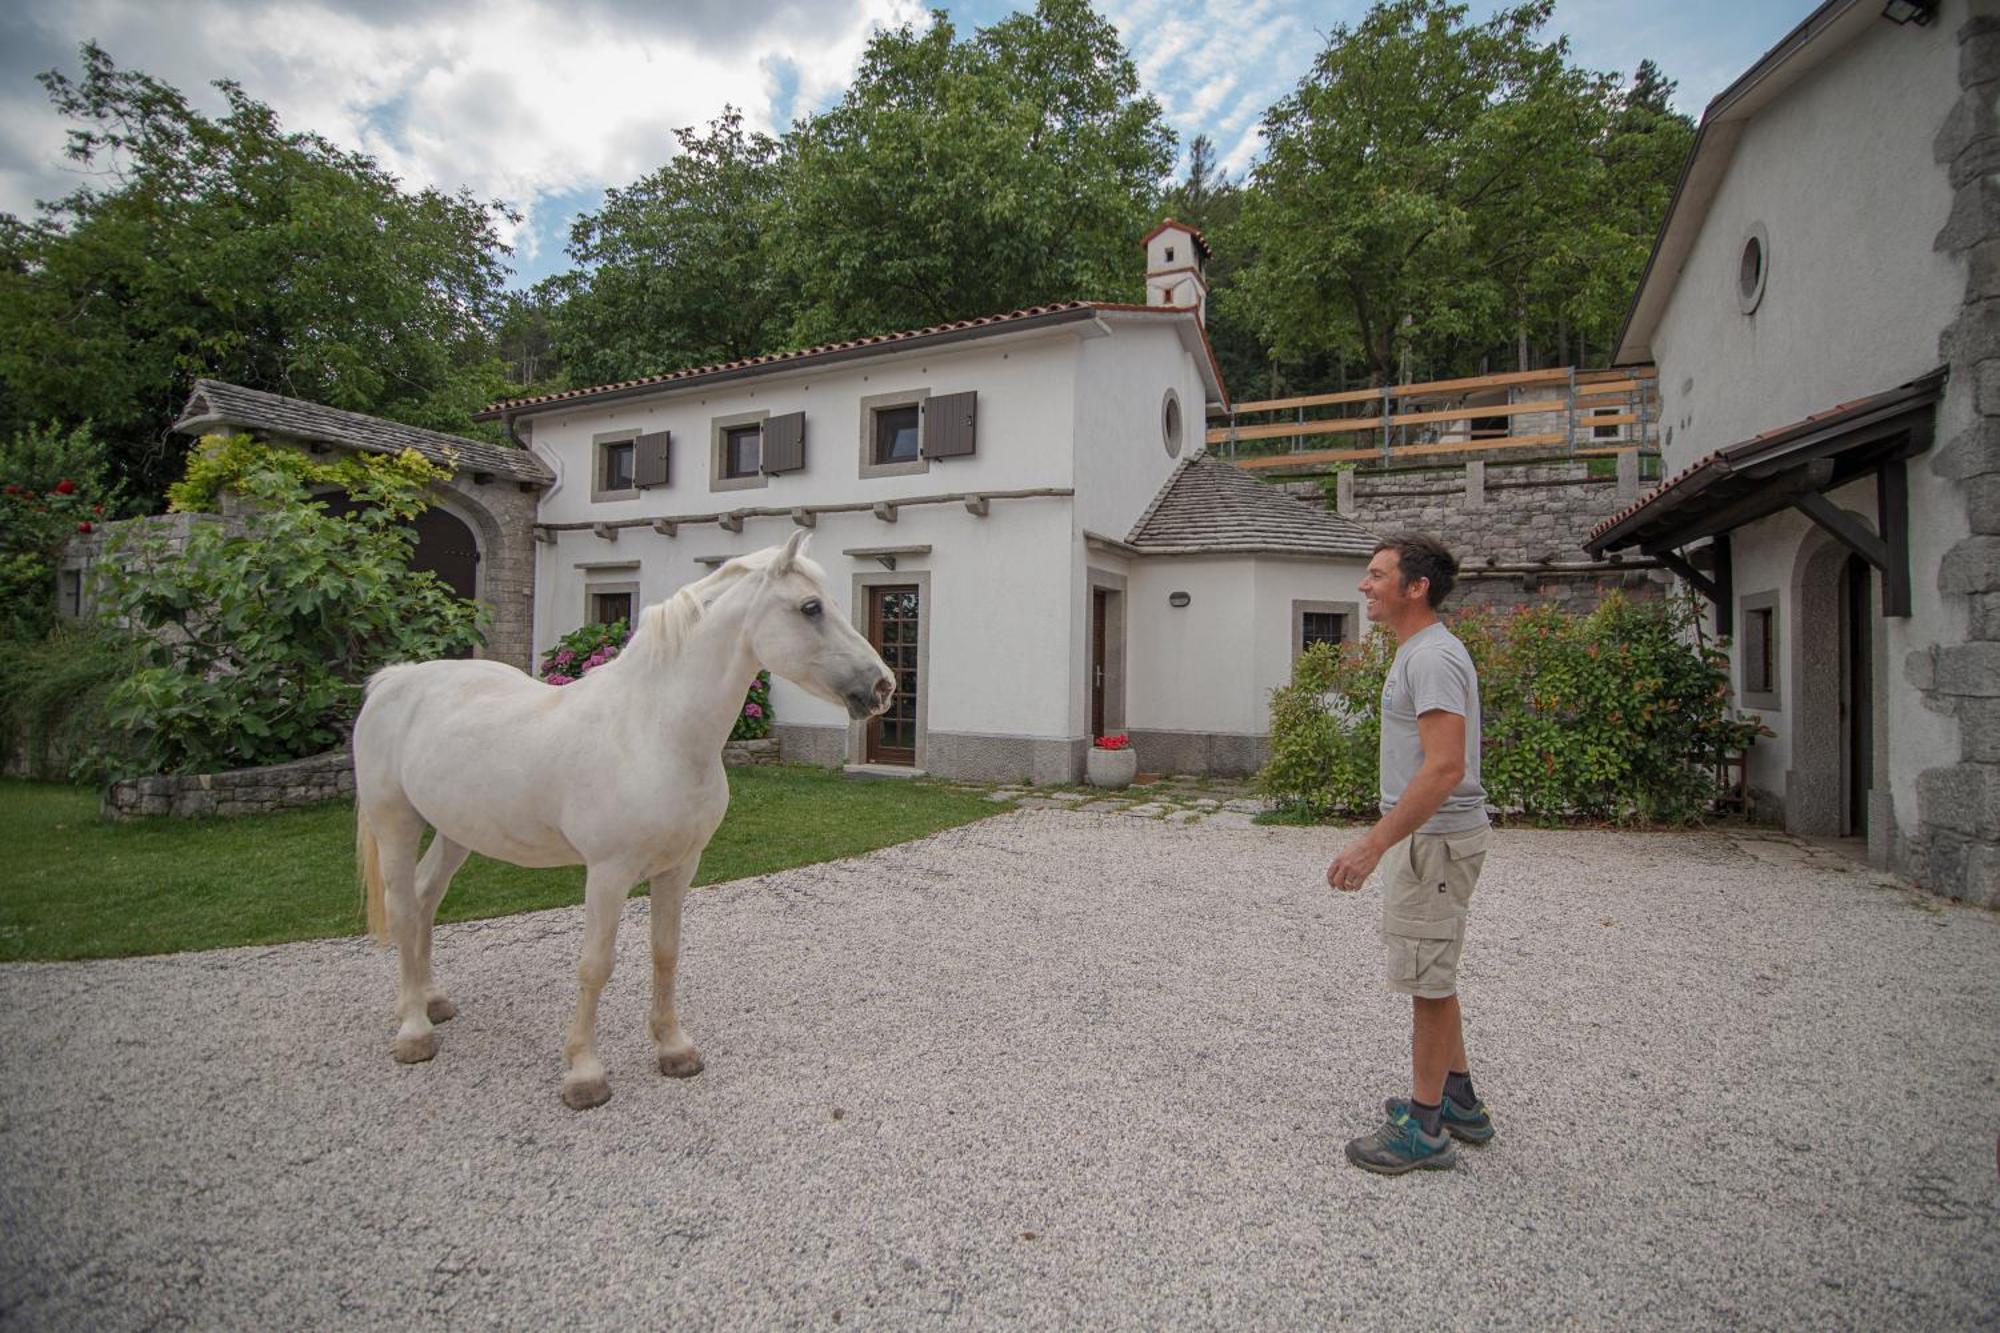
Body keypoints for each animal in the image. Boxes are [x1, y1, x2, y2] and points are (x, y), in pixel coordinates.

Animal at [352, 536, 892, 1104]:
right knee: (403, 907)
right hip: (397, 823)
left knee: (426, 898)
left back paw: (431, 1000)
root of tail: (394, 681)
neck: (653, 731)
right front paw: (584, 1073)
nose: (883, 686)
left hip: (456, 831)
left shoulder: (679, 867)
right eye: (811, 607)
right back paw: (414, 1031)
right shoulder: (607, 873)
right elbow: (595, 965)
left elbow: (666, 952)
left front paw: (674, 1049)